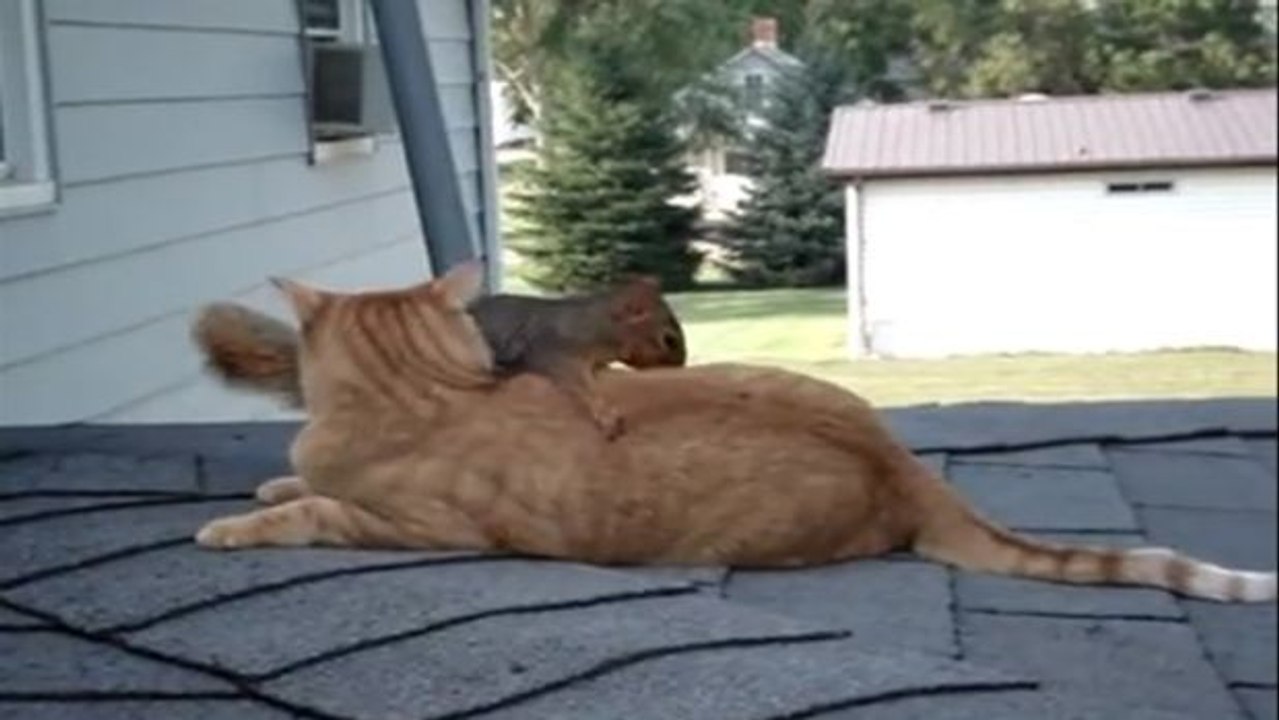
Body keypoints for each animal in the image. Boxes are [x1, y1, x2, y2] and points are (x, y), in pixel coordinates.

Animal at [191, 263, 685, 439]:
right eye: (668, 339)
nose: (681, 363)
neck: (590, 325)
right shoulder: (553, 351)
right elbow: (577, 385)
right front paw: (604, 413)